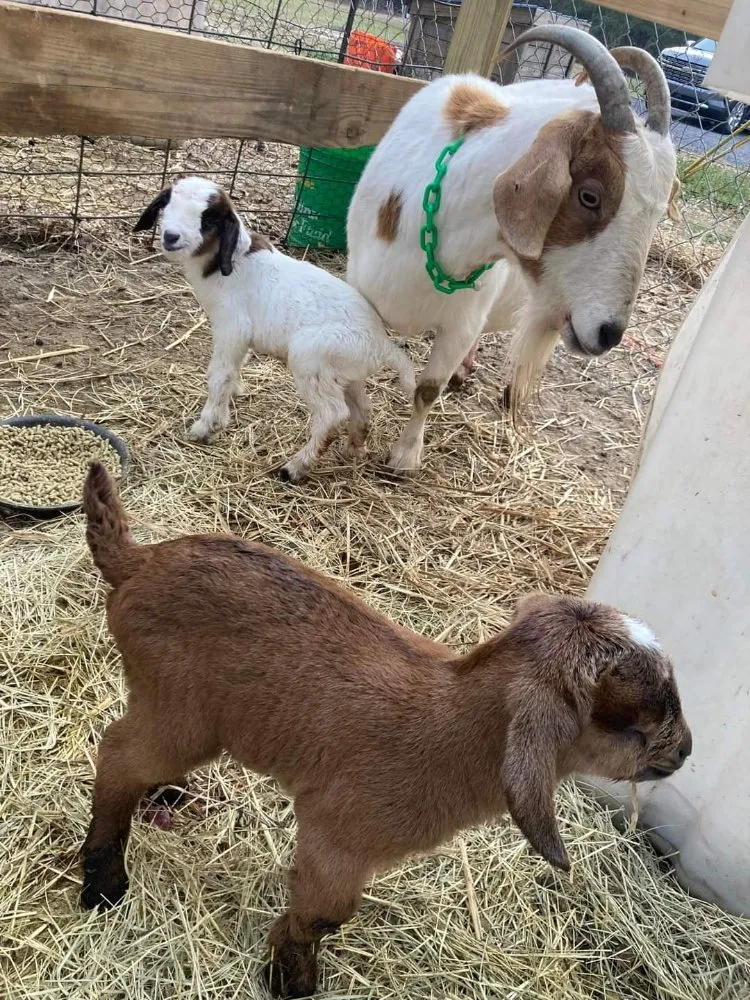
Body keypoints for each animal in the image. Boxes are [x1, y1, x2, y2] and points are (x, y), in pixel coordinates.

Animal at [80, 462, 692, 998]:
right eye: (627, 722)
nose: (686, 752)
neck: (453, 728)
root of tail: (137, 561)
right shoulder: (338, 836)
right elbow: (324, 914)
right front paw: (291, 981)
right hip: (181, 708)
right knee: (117, 754)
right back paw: (103, 882)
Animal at [133, 176, 415, 483]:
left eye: (209, 219)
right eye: (167, 203)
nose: (171, 236)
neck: (230, 263)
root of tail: (381, 343)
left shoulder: (231, 328)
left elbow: (219, 375)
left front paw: (205, 427)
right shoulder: (239, 339)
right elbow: (233, 371)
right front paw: (227, 407)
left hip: (310, 360)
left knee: (332, 414)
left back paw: (296, 467)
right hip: (344, 372)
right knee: (362, 408)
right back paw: (353, 449)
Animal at [346, 28, 679, 471]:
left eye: (659, 213)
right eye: (590, 196)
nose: (609, 333)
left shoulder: (463, 320)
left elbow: (427, 389)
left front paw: (404, 456)